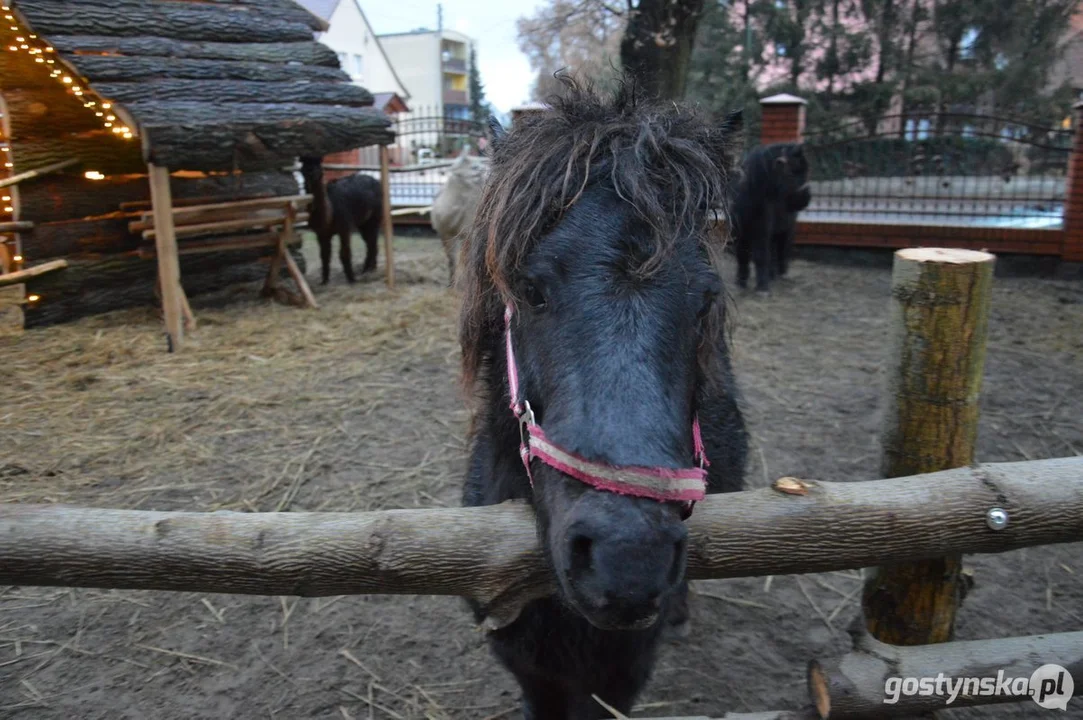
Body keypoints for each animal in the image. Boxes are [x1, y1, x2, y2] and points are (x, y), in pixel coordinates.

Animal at [732, 142, 810, 292]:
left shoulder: (763, 230)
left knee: (782, 250)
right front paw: (741, 282)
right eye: (792, 172)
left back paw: (781, 274)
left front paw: (762, 287)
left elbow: (763, 255)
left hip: (786, 231)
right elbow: (744, 255)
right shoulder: (740, 231)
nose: (806, 198)